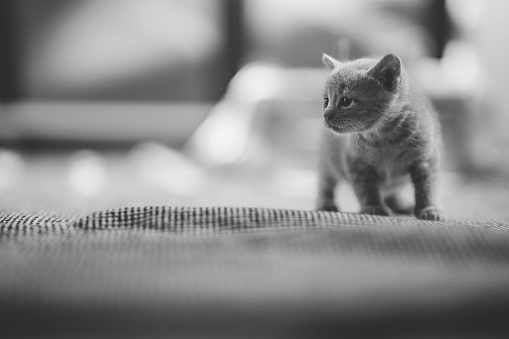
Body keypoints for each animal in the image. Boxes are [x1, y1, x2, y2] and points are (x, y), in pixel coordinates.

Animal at [318, 53, 444, 222]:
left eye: (345, 101)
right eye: (326, 101)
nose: (326, 115)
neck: (384, 139)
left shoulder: (427, 159)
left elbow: (428, 186)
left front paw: (430, 208)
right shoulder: (356, 164)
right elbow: (366, 188)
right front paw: (374, 207)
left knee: (392, 190)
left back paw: (399, 205)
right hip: (326, 162)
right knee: (325, 184)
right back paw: (325, 203)